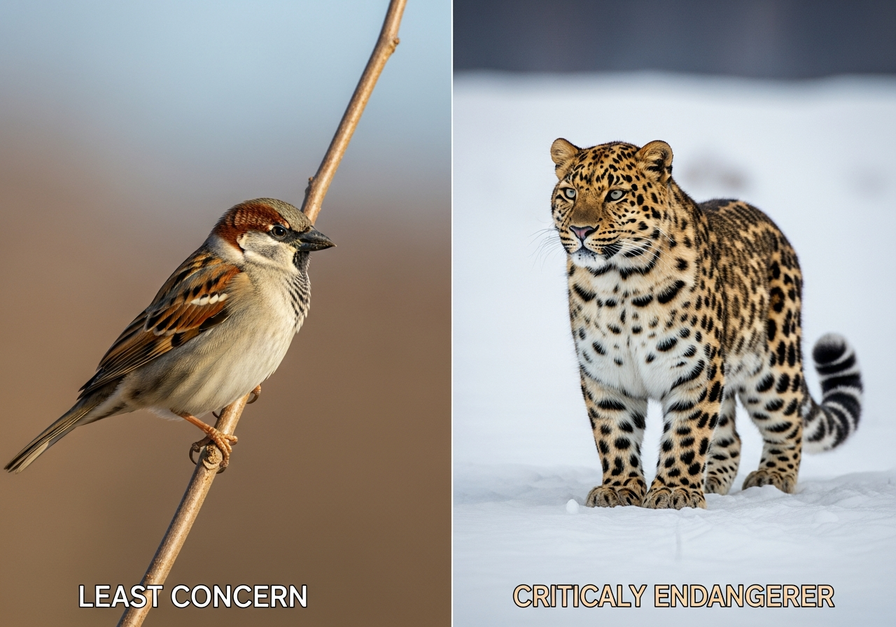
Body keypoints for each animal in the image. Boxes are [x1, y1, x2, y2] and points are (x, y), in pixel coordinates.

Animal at [550, 138, 863, 510]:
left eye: (615, 194)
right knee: (731, 436)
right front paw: (619, 489)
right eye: (570, 192)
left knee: (788, 423)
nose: (580, 230)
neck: (620, 283)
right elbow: (615, 436)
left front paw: (674, 491)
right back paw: (713, 481)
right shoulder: (605, 373)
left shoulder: (695, 368)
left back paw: (773, 477)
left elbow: (686, 434)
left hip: (773, 369)